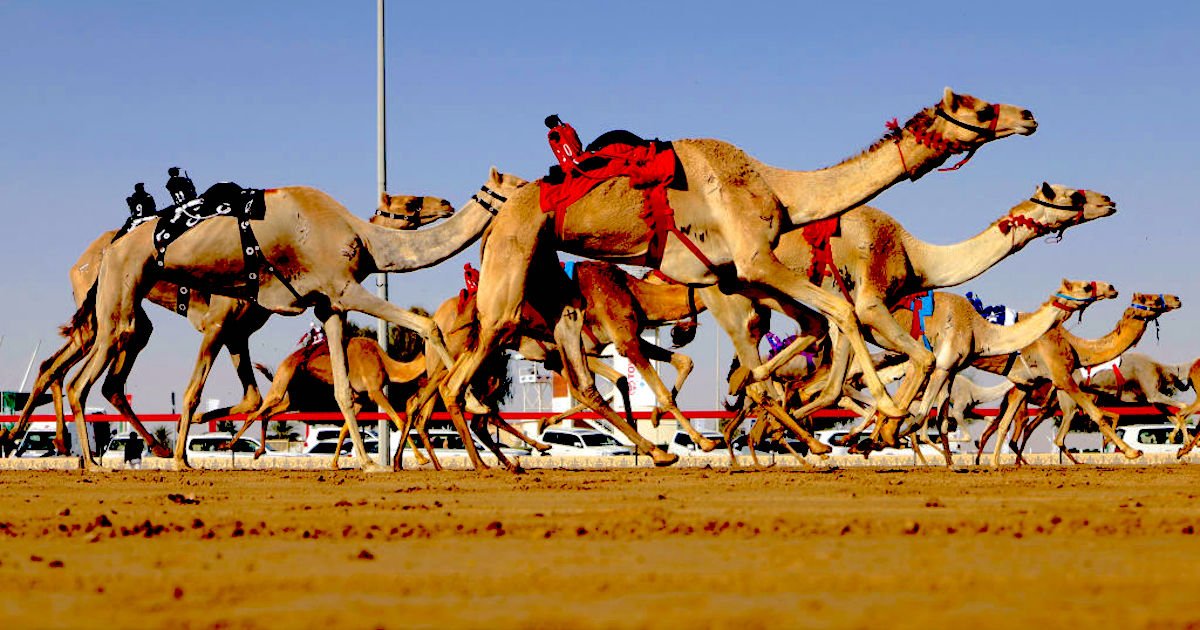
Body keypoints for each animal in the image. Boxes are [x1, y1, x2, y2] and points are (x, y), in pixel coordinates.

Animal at [3, 189, 453, 458]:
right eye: (412, 203)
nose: (445, 203)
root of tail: (84, 258)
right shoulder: (218, 326)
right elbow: (196, 392)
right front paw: (192, 444)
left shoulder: (239, 332)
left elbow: (251, 398)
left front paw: (206, 432)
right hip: (106, 313)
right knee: (76, 371)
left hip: (111, 320)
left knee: (73, 372)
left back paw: (56, 443)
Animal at [59, 169, 520, 468]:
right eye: (410, 201)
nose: (445, 202)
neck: (363, 238)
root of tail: (111, 244)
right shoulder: (343, 289)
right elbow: (428, 325)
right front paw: (474, 401)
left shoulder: (328, 306)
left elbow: (343, 392)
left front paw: (367, 463)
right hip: (120, 299)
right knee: (80, 380)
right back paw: (96, 462)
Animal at [436, 88, 1036, 460]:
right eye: (982, 109)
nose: (1028, 115)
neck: (781, 190)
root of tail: (501, 215)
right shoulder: (755, 260)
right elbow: (841, 312)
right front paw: (883, 412)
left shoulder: (728, 277)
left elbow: (792, 343)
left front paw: (766, 412)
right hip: (507, 275)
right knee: (457, 379)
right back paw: (501, 463)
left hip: (548, 284)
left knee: (567, 374)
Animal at [974, 292, 1180, 463]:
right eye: (1151, 299)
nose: (1176, 299)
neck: (1073, 345)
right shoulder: (1062, 377)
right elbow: (1098, 415)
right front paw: (1132, 452)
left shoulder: (1027, 382)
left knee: (1003, 428)